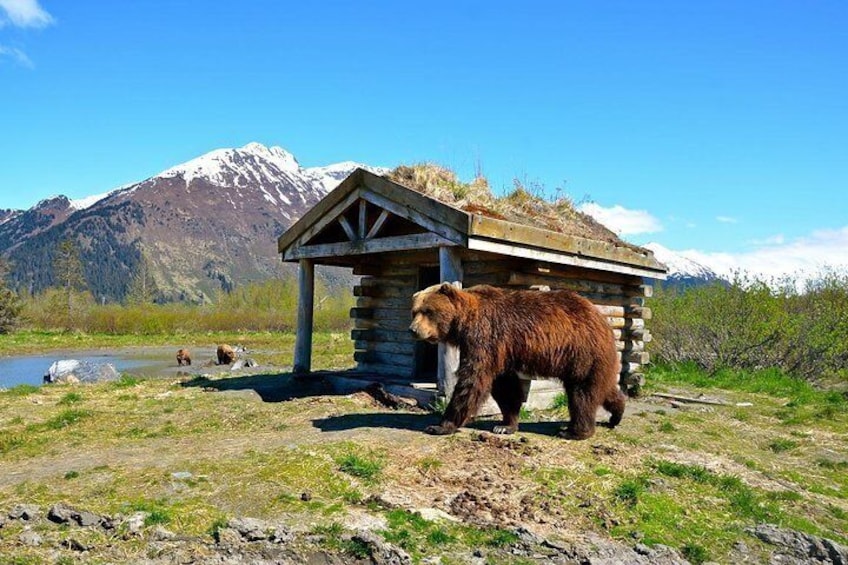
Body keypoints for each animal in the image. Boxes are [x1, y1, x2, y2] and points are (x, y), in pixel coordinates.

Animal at [410, 284, 624, 438]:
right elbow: (504, 387)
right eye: (414, 311)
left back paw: (575, 431)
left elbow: (472, 380)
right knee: (602, 388)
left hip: (582, 353)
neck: (464, 323)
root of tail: (603, 319)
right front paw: (505, 425)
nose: (413, 330)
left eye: (428, 311)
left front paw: (440, 426)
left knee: (581, 393)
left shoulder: (485, 337)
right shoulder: (501, 351)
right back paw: (616, 415)